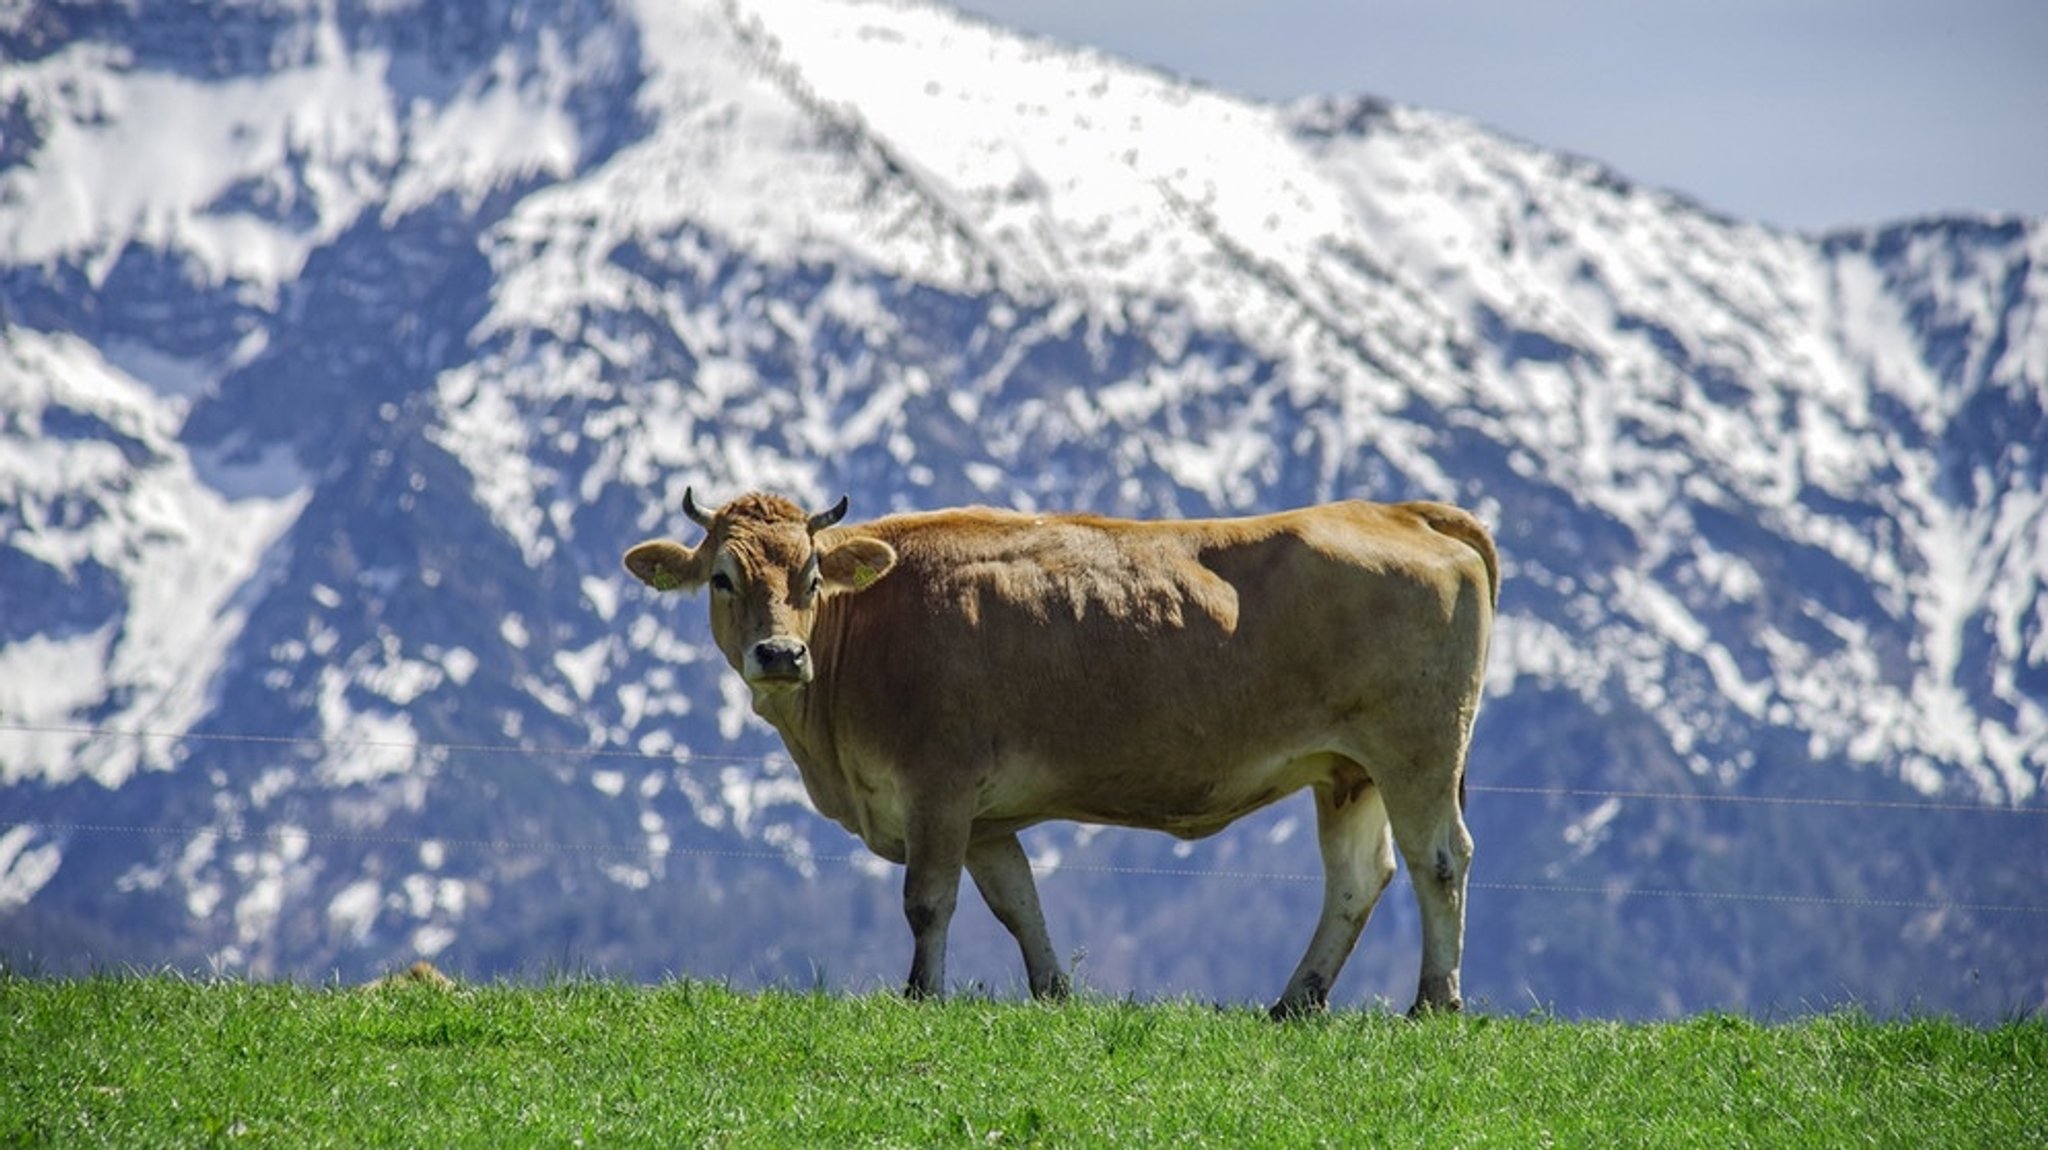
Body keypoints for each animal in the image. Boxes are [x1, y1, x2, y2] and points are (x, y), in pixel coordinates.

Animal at [614, 484, 1499, 1010]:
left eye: (811, 577)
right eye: (723, 578)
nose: (778, 654)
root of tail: (1401, 508)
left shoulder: (938, 785)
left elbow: (926, 901)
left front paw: (921, 997)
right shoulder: (984, 818)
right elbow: (1018, 903)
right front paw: (1053, 994)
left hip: (1418, 751)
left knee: (1440, 861)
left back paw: (1434, 1001)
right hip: (1347, 771)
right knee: (1358, 878)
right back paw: (1293, 1003)